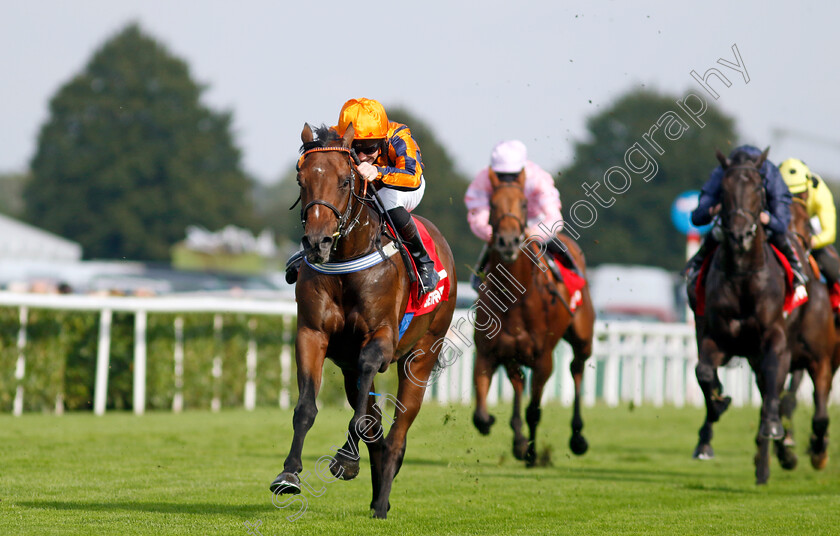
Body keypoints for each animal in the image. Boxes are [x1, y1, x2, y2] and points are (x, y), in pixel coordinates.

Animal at [270, 123, 456, 516]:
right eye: (301, 180)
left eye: (345, 180)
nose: (317, 242)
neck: (346, 261)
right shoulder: (312, 334)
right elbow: (306, 407)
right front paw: (289, 474)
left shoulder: (380, 338)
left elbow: (367, 393)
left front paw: (344, 458)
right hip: (350, 368)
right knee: (376, 428)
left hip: (422, 355)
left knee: (398, 432)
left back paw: (382, 501)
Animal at [472, 168, 596, 464]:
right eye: (492, 204)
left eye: (524, 204)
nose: (508, 241)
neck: (514, 300)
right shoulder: (487, 352)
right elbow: (480, 415)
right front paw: (510, 436)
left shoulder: (543, 360)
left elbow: (534, 411)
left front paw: (531, 453)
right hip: (513, 355)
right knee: (518, 381)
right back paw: (518, 439)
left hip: (583, 338)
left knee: (576, 368)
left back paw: (577, 437)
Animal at [688, 149, 832, 484]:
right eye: (723, 190)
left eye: (757, 189)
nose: (740, 235)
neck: (744, 277)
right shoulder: (716, 338)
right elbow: (705, 374)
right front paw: (718, 407)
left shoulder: (784, 345)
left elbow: (784, 400)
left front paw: (780, 437)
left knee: (783, 399)